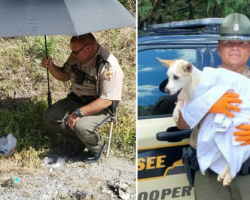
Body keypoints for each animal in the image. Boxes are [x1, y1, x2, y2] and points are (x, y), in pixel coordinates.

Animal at [157, 57, 233, 186]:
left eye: (176, 77)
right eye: (168, 77)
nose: (166, 90)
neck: (190, 87)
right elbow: (180, 104)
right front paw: (176, 113)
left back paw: (227, 176)